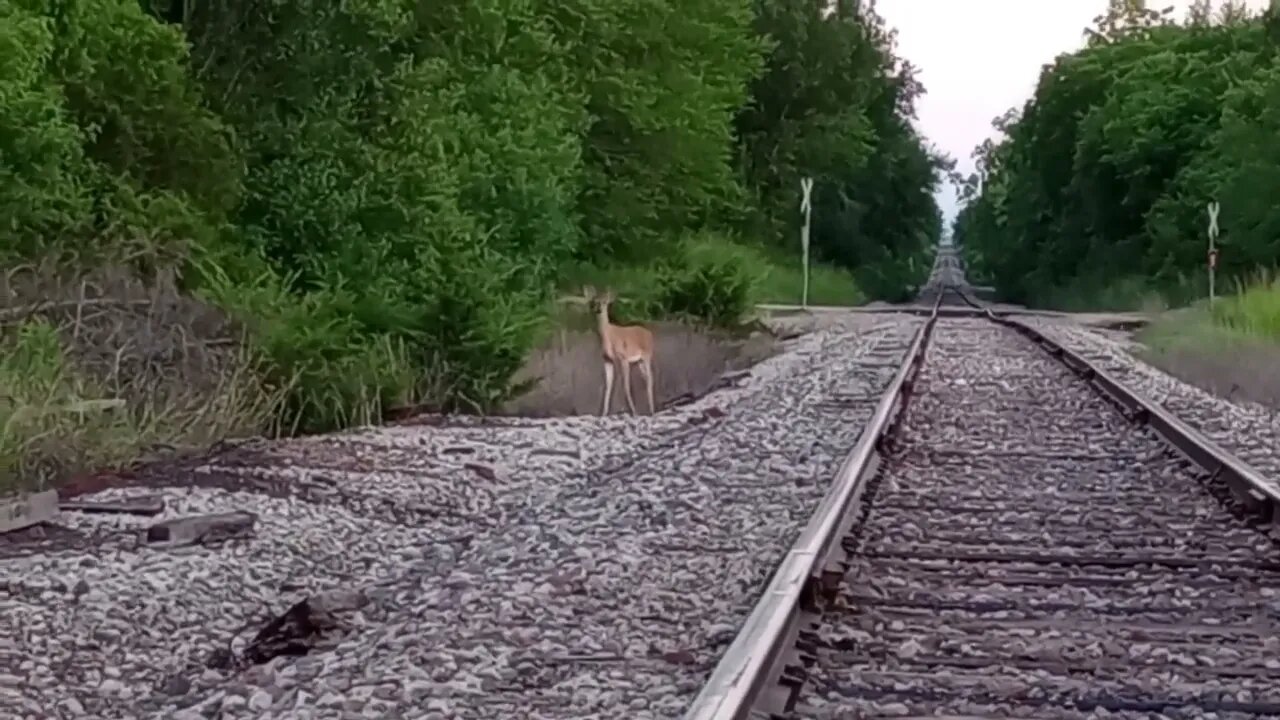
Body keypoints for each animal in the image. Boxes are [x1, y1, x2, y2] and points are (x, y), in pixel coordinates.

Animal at [586, 285, 655, 415]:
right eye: (594, 302)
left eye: (605, 302)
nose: (598, 310)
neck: (607, 336)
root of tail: (649, 333)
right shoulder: (607, 359)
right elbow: (608, 386)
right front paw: (603, 413)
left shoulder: (623, 357)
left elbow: (625, 386)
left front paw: (634, 412)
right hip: (639, 361)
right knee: (646, 378)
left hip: (647, 355)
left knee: (650, 378)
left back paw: (652, 410)